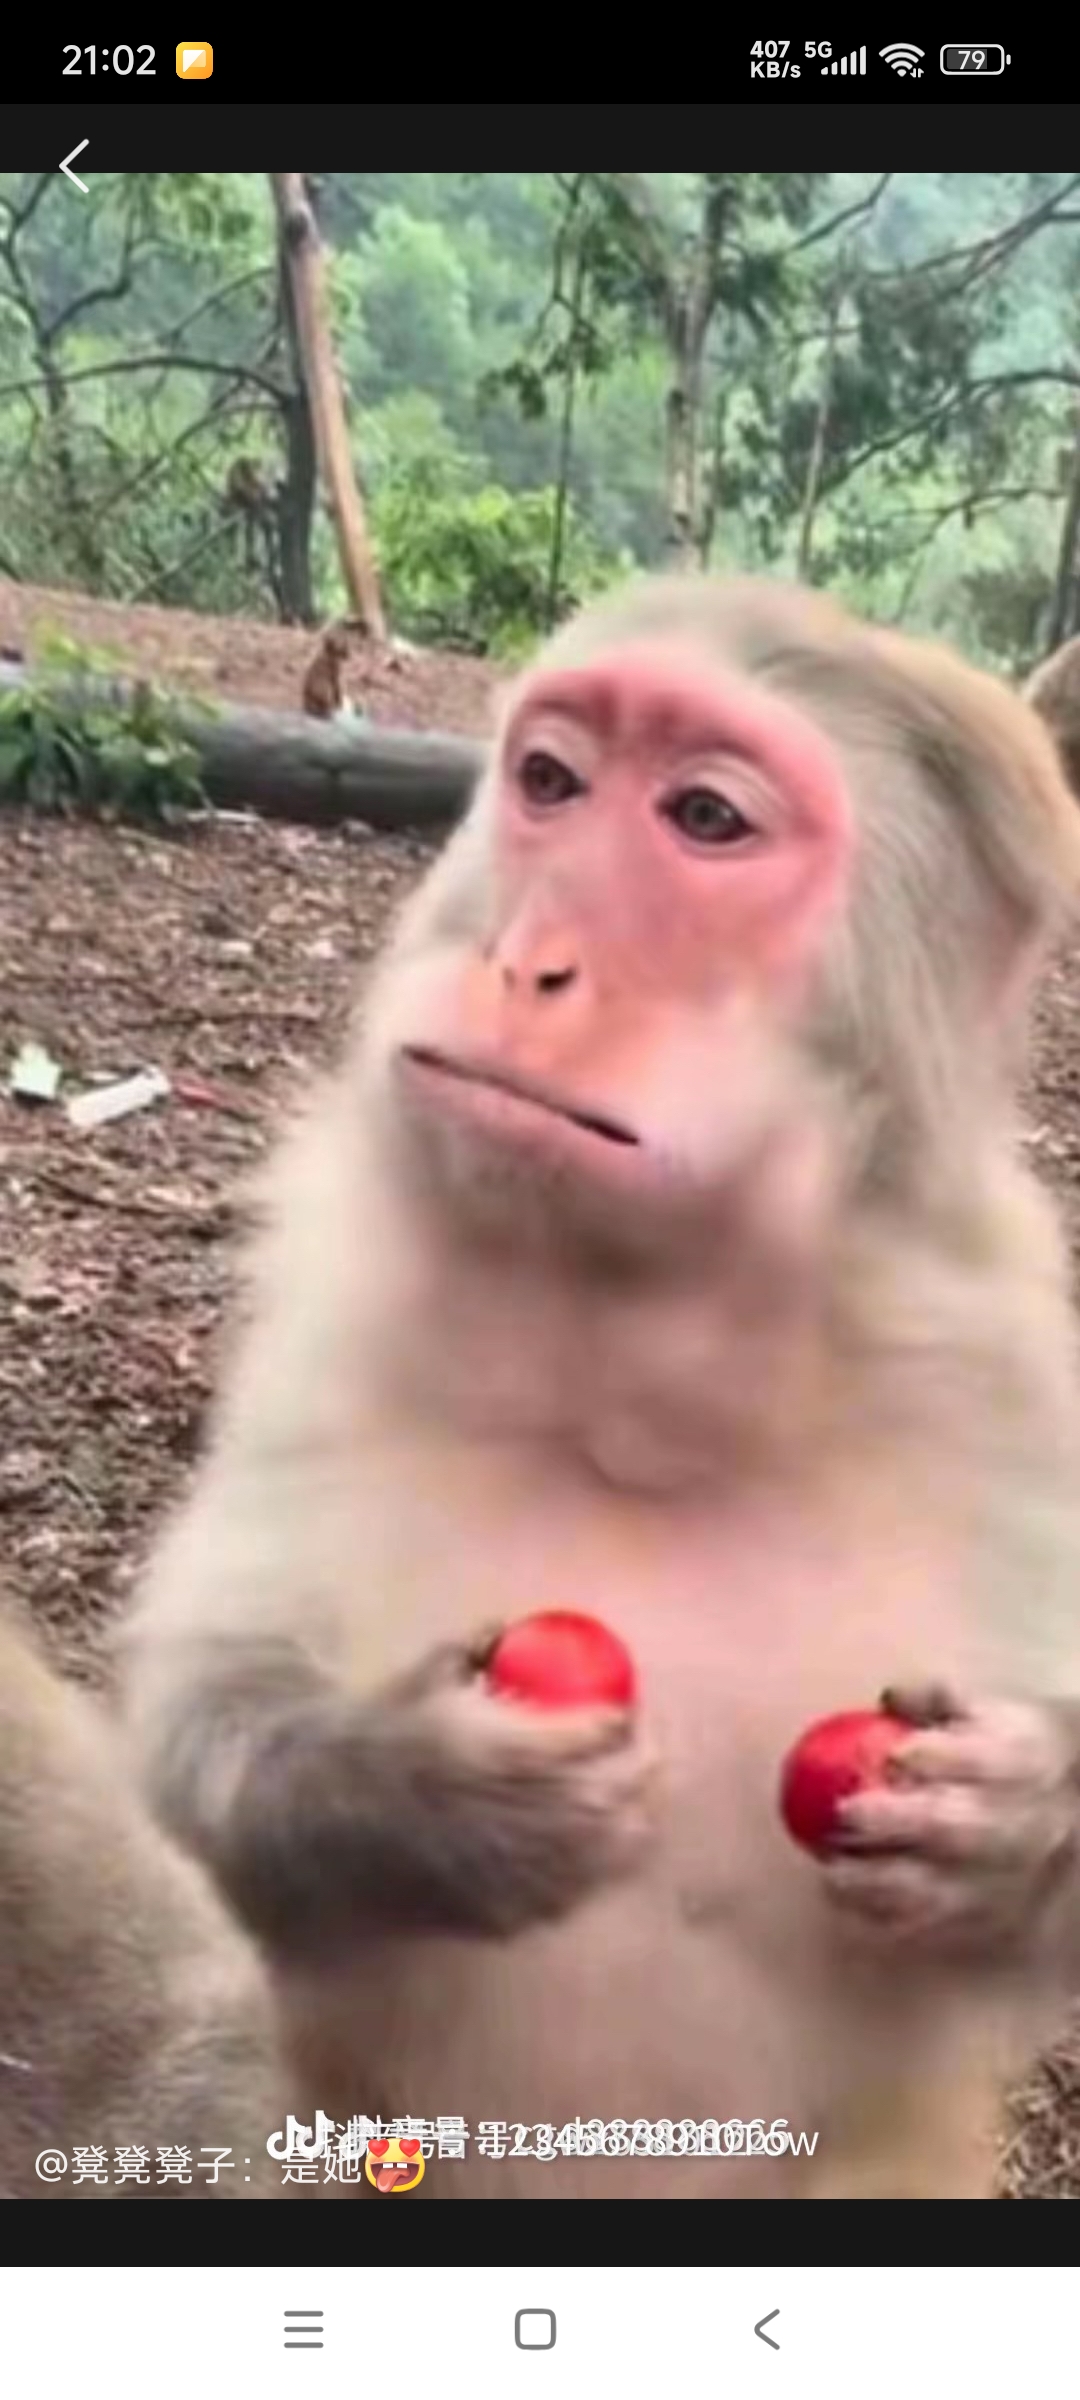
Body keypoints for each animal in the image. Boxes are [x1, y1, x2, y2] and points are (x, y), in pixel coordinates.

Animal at [123, 570, 1080, 2198]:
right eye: (553, 784)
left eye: (705, 818)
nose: (526, 961)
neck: (651, 1393)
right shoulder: (335, 1296)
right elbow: (196, 1707)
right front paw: (420, 1797)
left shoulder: (1019, 1390)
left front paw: (1021, 1826)